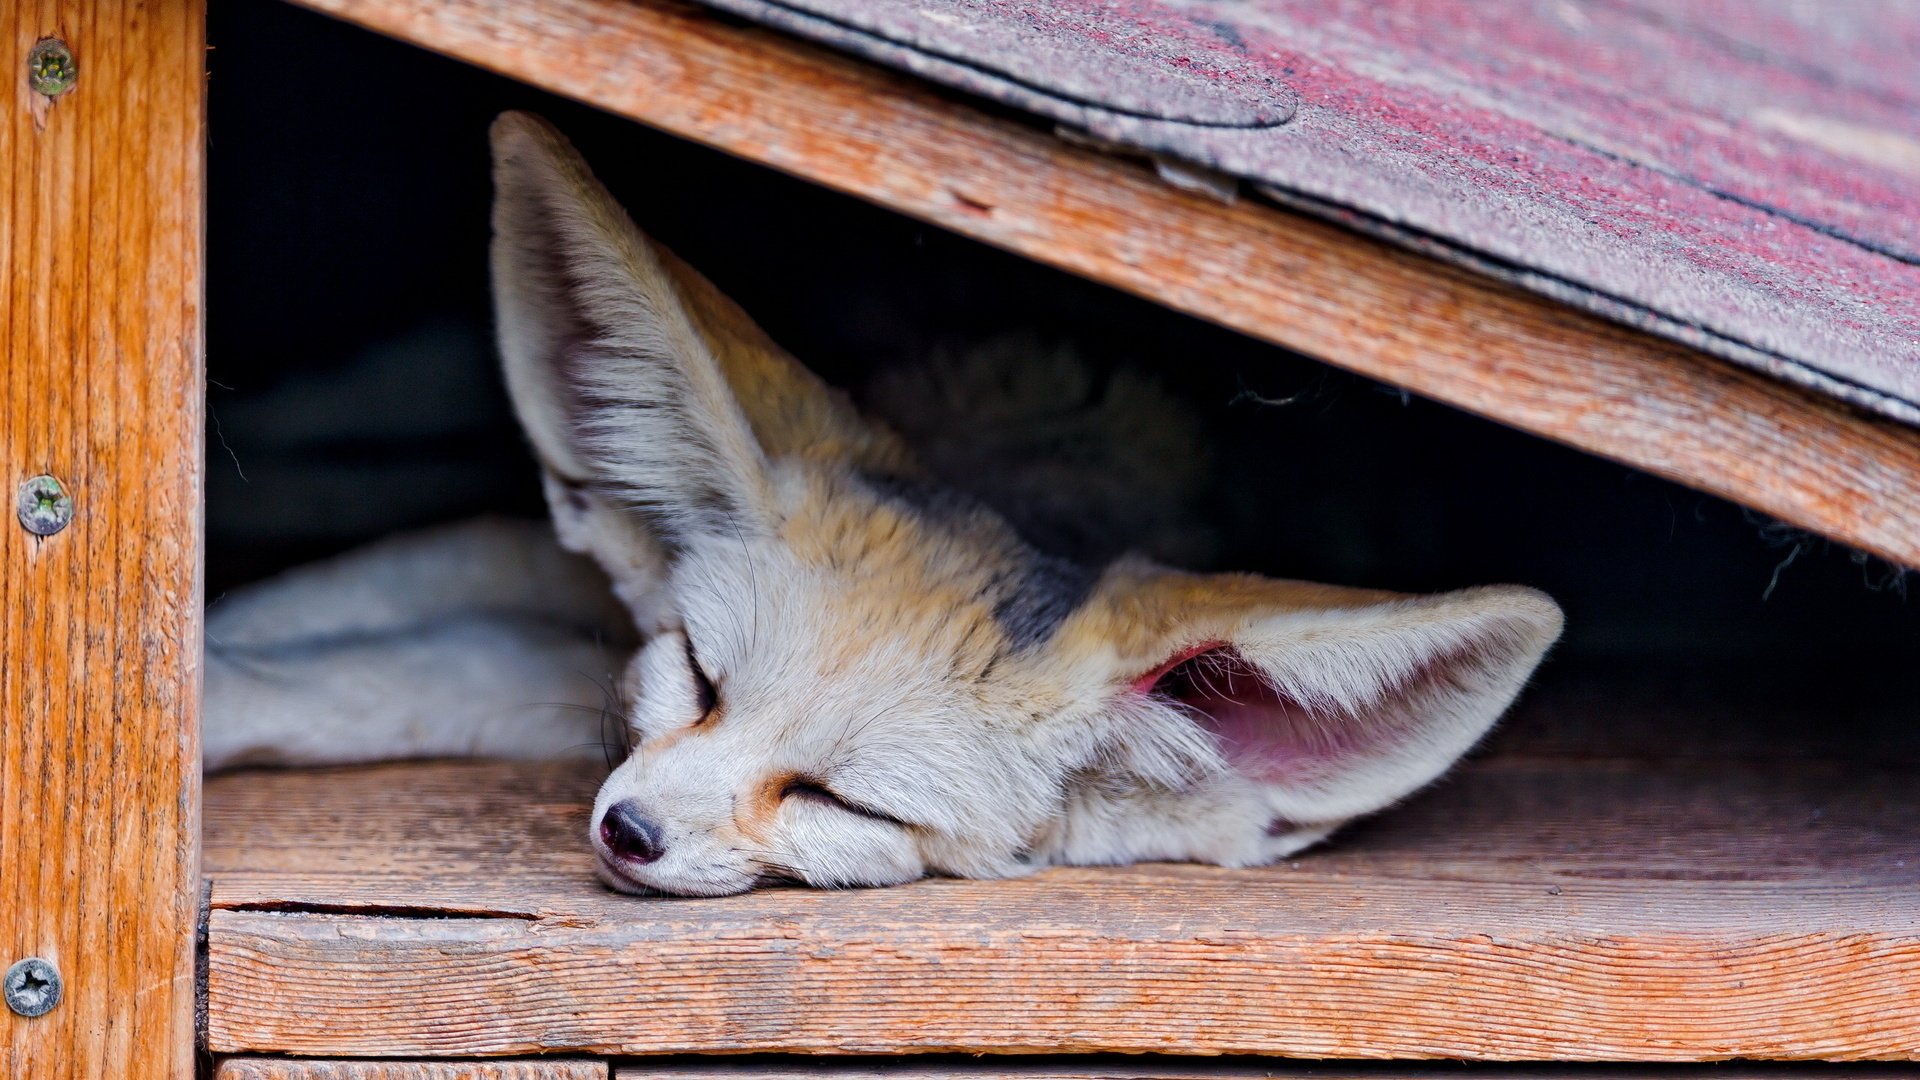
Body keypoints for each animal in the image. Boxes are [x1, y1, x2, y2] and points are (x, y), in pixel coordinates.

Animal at [206, 113, 1559, 895]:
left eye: (845, 803)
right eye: (701, 678)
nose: (629, 831)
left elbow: (407, 671)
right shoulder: (561, 576)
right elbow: (345, 635)